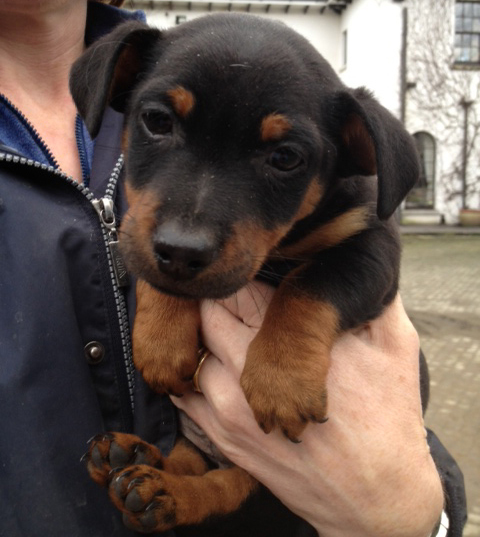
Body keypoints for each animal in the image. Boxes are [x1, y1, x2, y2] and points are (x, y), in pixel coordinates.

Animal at [72, 12, 420, 532]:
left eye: (286, 157)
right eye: (157, 121)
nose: (181, 251)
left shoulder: (371, 245)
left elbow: (310, 283)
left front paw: (281, 378)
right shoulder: (142, 228)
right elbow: (157, 275)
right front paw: (161, 342)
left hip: (273, 487)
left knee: (223, 490)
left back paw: (158, 492)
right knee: (189, 460)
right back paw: (132, 460)